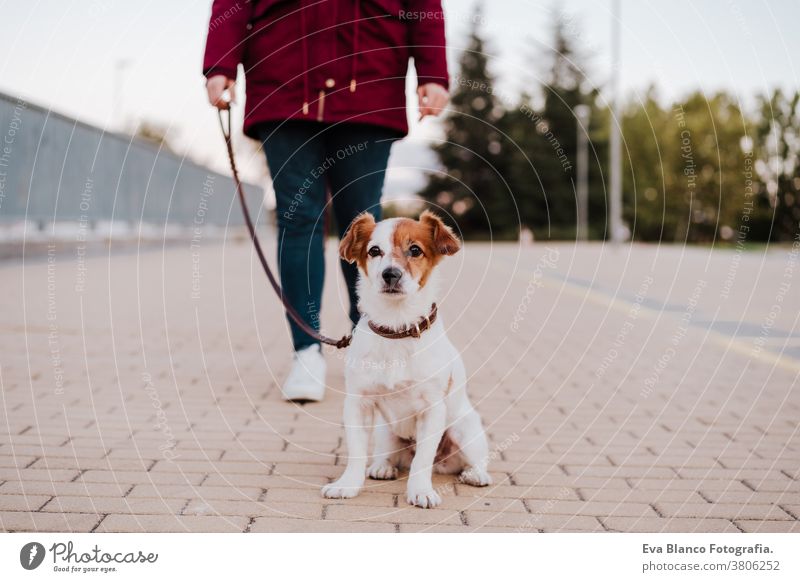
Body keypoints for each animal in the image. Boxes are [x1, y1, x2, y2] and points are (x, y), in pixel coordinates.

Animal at [322, 212, 490, 508]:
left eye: (415, 250)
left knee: (472, 461)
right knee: (389, 455)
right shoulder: (358, 403)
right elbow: (356, 452)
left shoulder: (432, 409)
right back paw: (383, 466)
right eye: (374, 251)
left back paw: (475, 474)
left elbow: (422, 460)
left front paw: (420, 490)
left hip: (465, 431)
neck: (396, 328)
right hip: (385, 432)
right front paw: (347, 484)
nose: (391, 273)